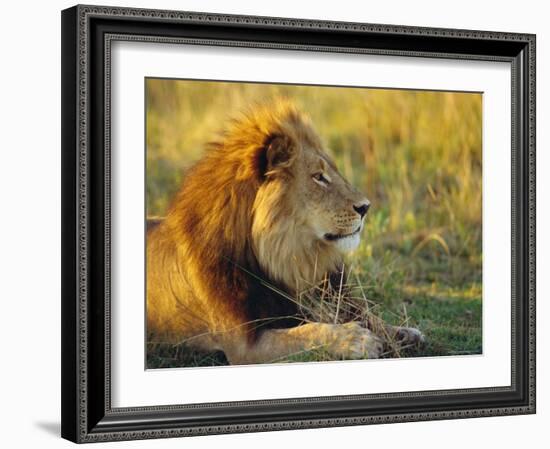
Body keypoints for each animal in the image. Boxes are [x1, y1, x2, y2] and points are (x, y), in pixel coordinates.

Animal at [146, 100, 422, 364]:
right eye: (319, 177)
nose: (365, 207)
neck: (285, 257)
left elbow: (368, 316)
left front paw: (403, 332)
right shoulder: (244, 346)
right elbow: (306, 333)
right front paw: (356, 339)